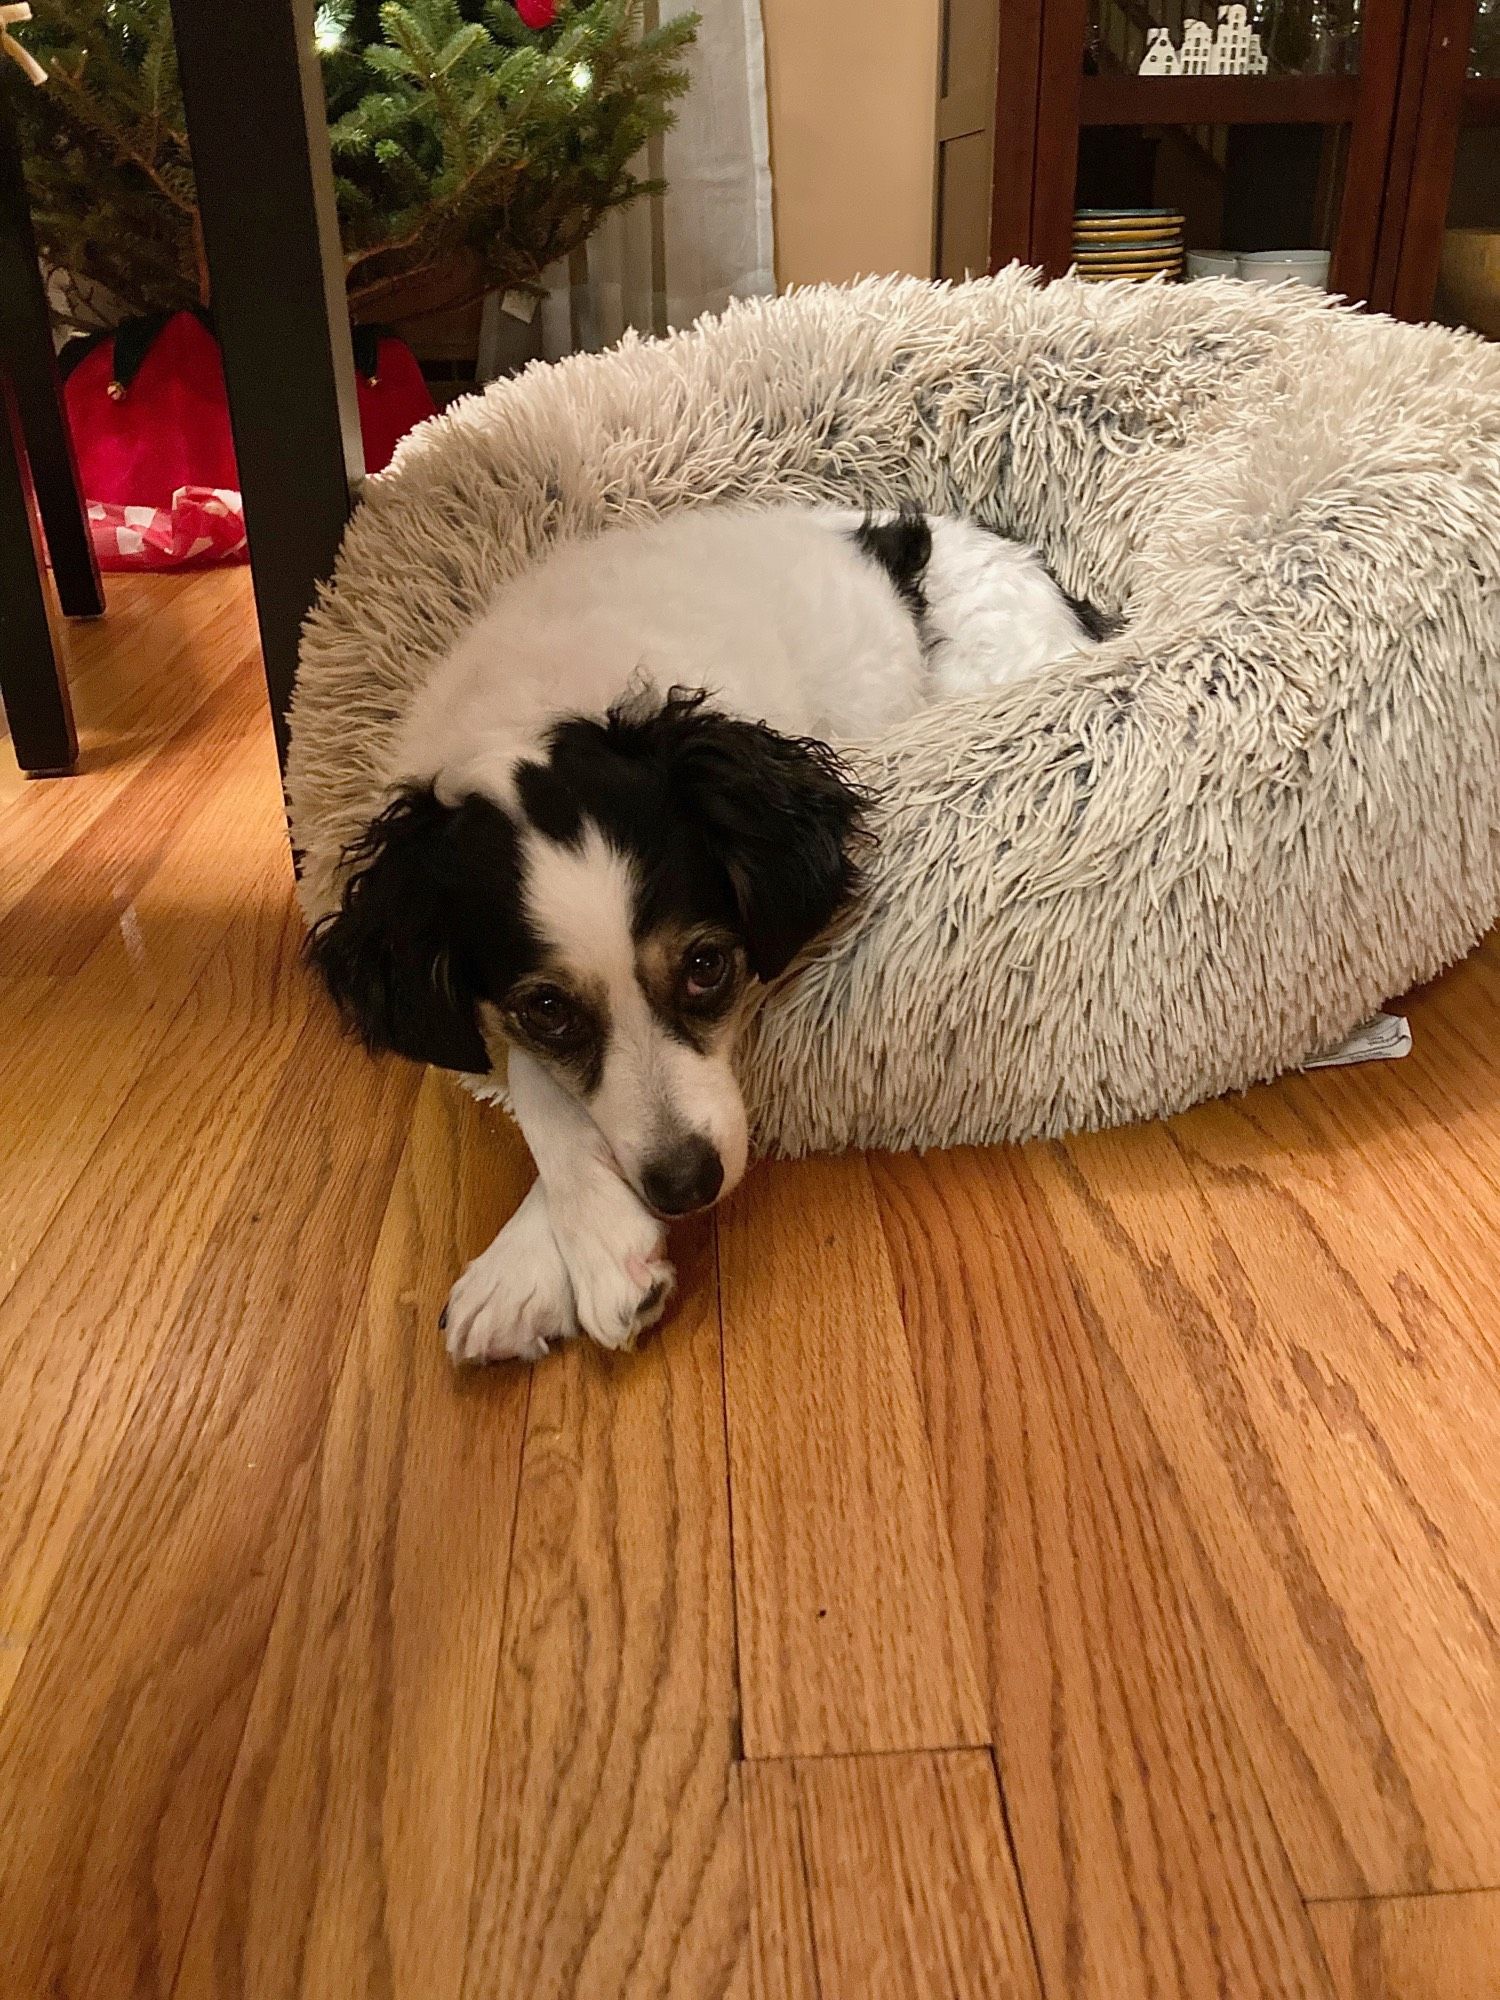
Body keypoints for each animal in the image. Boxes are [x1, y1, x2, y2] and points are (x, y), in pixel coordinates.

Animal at [312, 508, 1096, 1368]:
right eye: (547, 1008)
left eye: (705, 964)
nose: (685, 1187)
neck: (549, 699)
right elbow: (534, 1081)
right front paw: (561, 1254)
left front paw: (555, 1257)